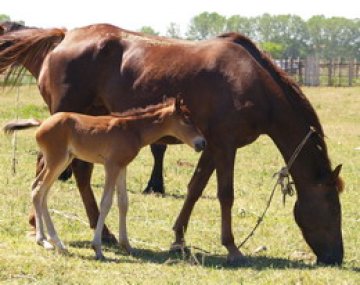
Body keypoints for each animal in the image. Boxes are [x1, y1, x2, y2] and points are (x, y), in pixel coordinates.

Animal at [4, 96, 205, 258]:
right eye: (186, 120)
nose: (202, 143)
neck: (133, 129)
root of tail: (42, 122)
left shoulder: (122, 167)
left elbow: (123, 202)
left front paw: (127, 246)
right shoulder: (111, 166)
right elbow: (106, 203)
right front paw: (98, 248)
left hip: (61, 161)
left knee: (39, 190)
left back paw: (46, 240)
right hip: (56, 161)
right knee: (39, 190)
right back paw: (55, 243)